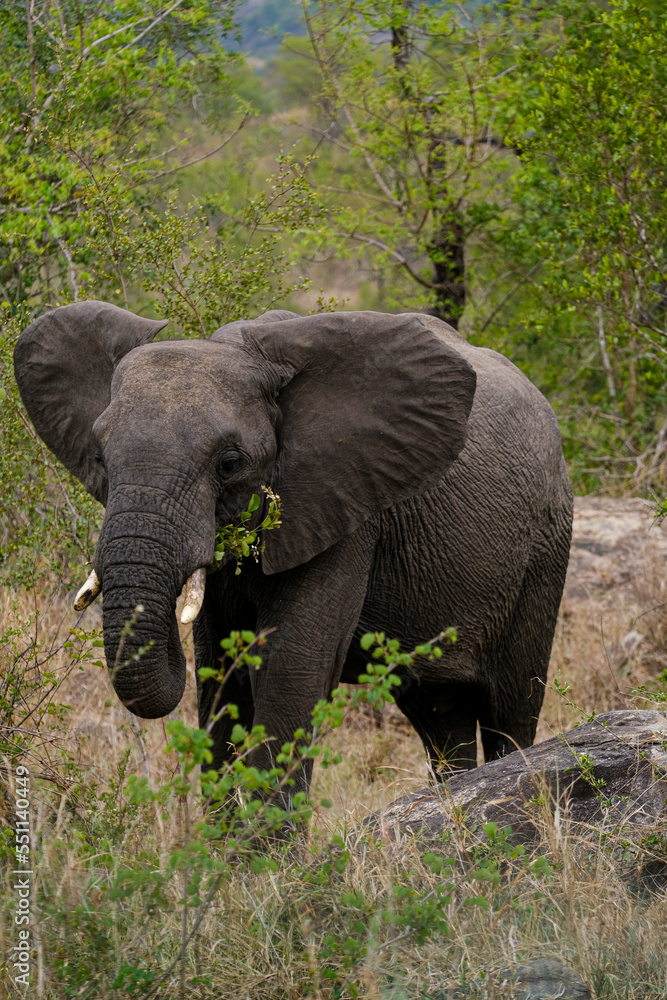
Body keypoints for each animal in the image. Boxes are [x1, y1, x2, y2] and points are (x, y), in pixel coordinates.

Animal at [14, 301, 573, 790]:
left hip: (545, 547)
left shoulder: (346, 508)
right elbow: (222, 677)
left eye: (230, 464)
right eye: (101, 459)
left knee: (509, 711)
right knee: (440, 712)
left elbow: (287, 671)